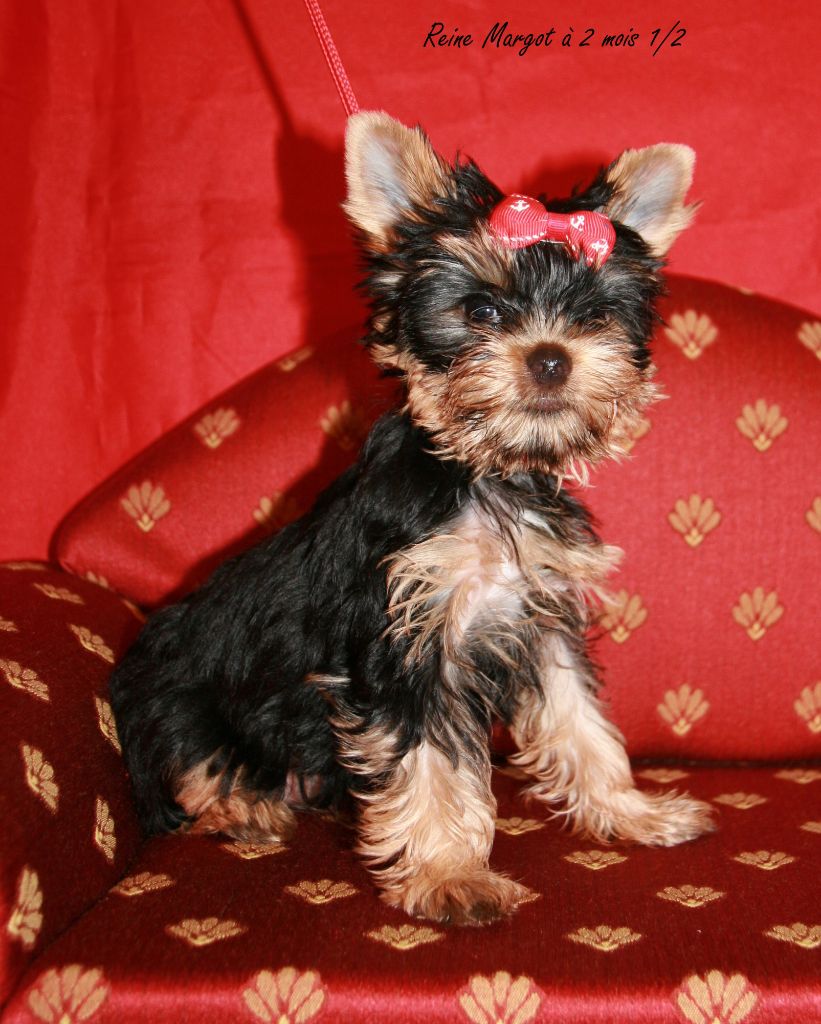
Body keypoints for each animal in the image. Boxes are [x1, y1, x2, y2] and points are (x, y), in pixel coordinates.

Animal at [109, 111, 714, 926]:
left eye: (594, 315)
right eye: (480, 310)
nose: (551, 357)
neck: (485, 475)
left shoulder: (542, 618)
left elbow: (580, 719)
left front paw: (629, 810)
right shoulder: (399, 641)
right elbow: (426, 762)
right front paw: (449, 875)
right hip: (180, 702)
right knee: (191, 764)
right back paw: (243, 808)